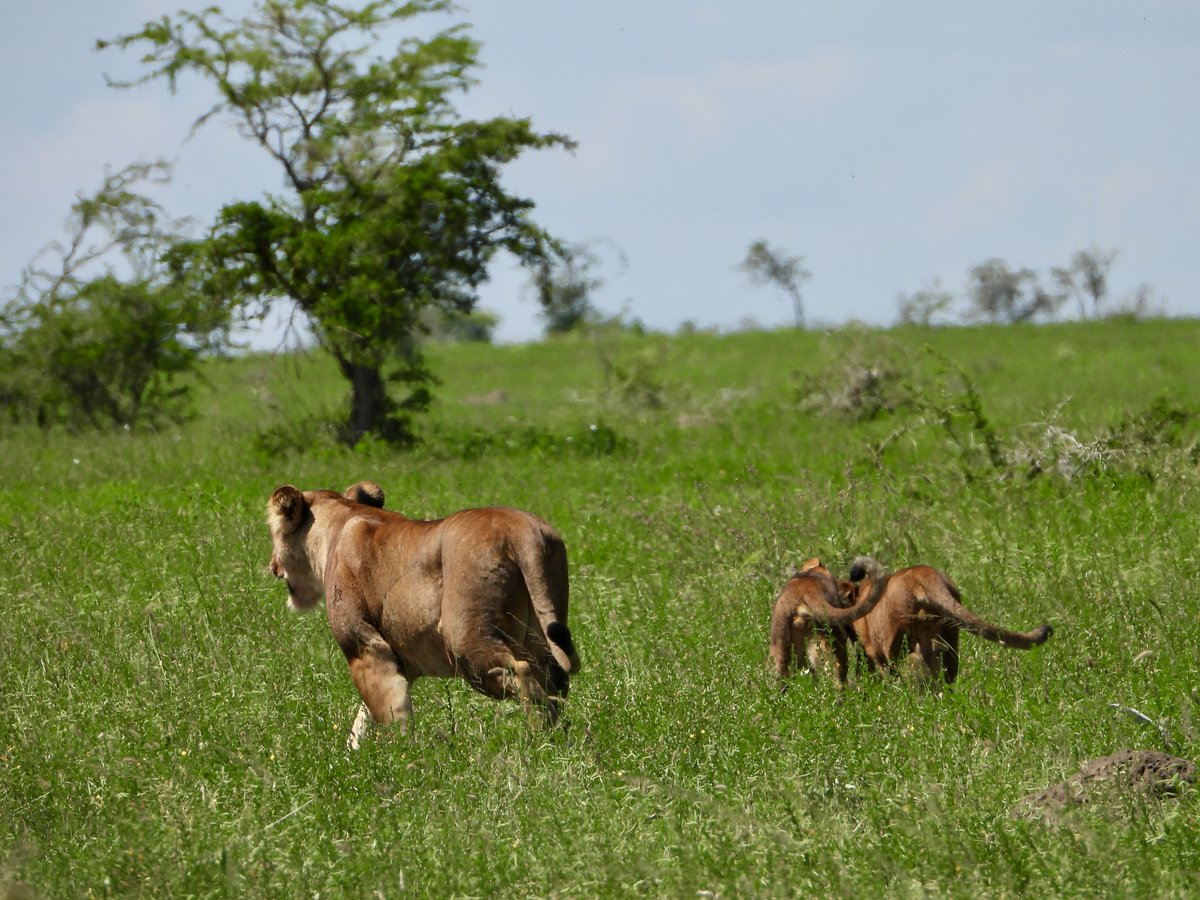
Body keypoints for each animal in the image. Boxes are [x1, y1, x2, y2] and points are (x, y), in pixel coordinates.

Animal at [266, 480, 580, 748]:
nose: (272, 566)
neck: (340, 522)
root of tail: (520, 530)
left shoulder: (365, 647)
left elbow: (388, 710)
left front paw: (402, 757)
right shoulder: (402, 660)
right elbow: (366, 716)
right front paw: (354, 757)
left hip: (465, 640)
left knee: (524, 672)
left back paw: (538, 737)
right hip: (541, 623)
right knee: (555, 677)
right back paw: (557, 739)